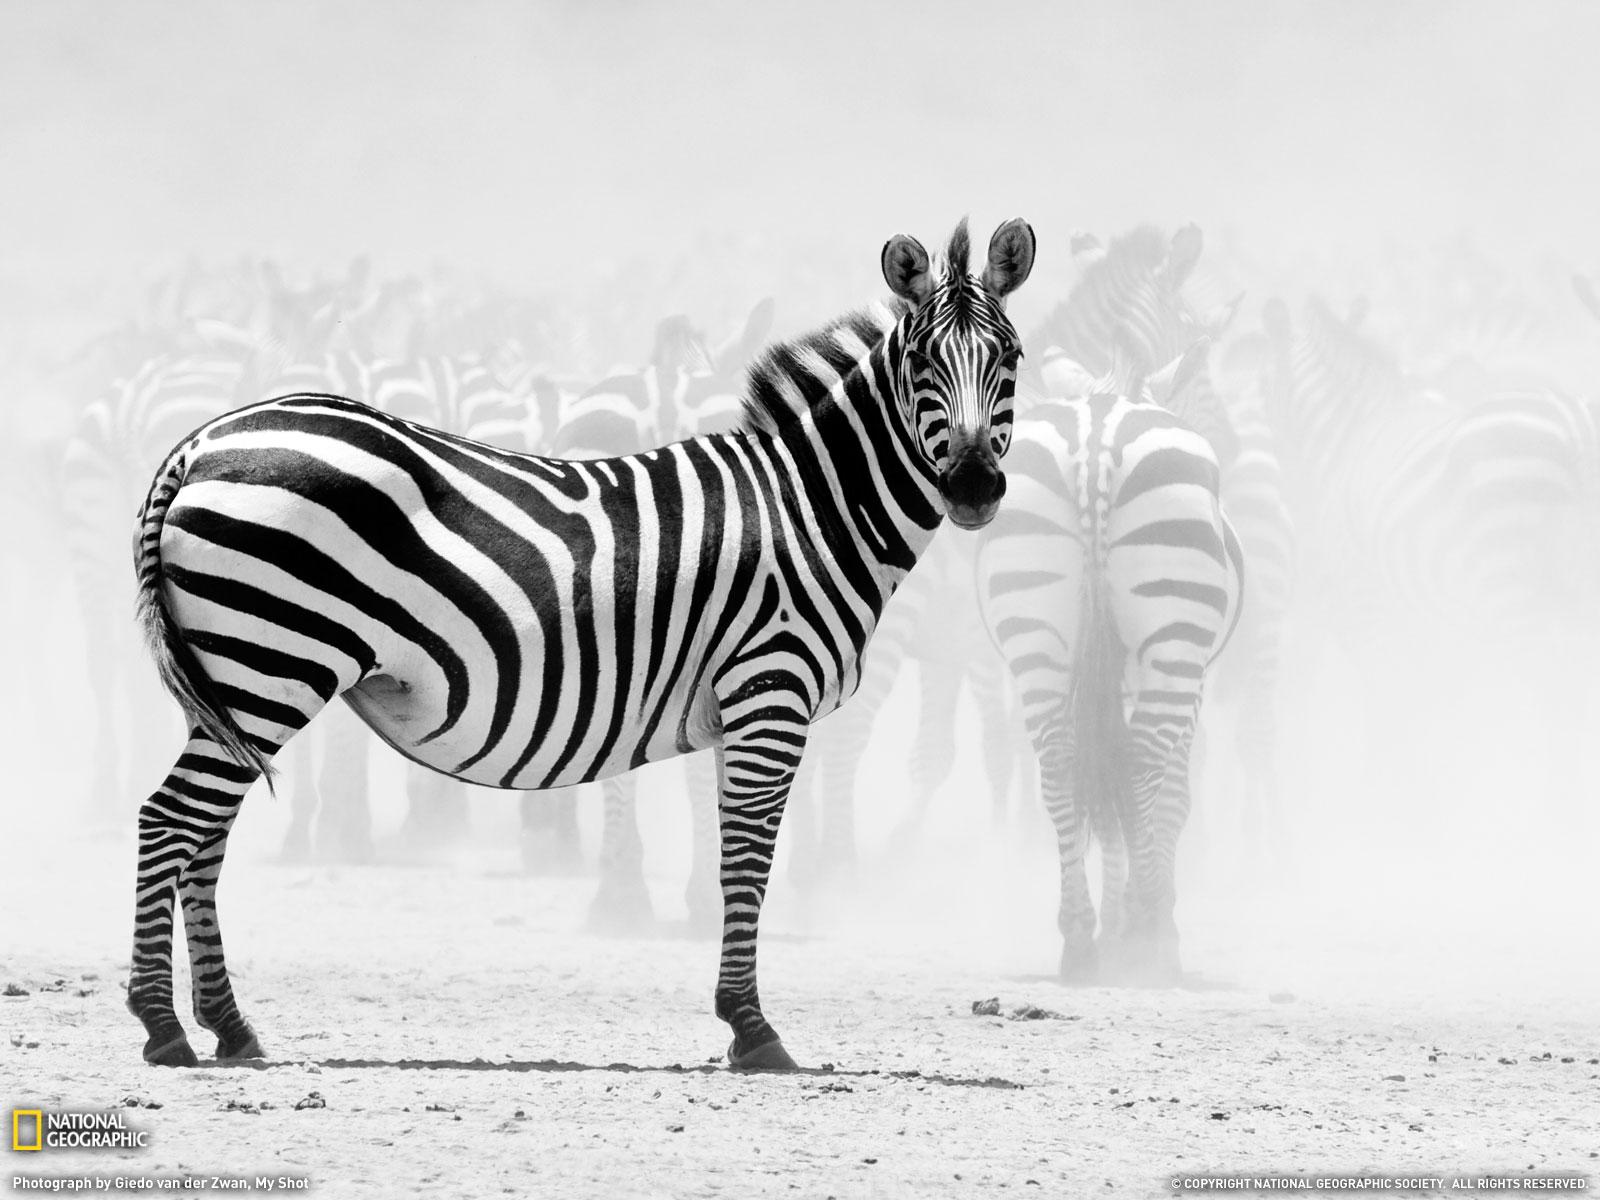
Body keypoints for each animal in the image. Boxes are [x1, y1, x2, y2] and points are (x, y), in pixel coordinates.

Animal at [125, 217, 1036, 1070]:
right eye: (921, 364)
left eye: (1013, 358)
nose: (973, 488)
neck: (809, 507)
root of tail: (201, 444)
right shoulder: (771, 691)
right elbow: (749, 859)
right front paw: (751, 1028)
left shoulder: (738, 707)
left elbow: (731, 851)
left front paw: (738, 1014)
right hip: (271, 662)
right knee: (168, 819)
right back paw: (163, 1027)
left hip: (237, 680)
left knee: (205, 833)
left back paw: (230, 1026)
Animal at [974, 346, 1245, 983]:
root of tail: (1095, 436)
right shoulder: (1192, 685)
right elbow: (1171, 797)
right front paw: (1135, 923)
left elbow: (1103, 792)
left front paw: (1113, 925)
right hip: (1174, 634)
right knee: (1141, 764)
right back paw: (1153, 934)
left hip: (1034, 627)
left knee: (1060, 765)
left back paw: (1079, 938)